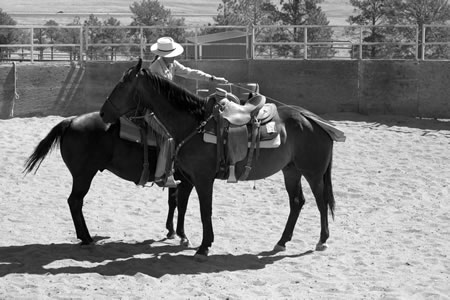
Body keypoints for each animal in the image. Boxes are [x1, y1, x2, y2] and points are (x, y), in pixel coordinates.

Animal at [23, 111, 192, 245]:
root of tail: (70, 121)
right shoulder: (188, 180)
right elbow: (182, 206)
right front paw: (183, 235)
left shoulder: (175, 179)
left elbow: (173, 202)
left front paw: (171, 231)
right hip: (84, 176)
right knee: (75, 202)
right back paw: (86, 237)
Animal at [99, 59, 338, 256]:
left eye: (122, 85)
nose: (102, 113)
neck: (194, 123)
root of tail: (313, 120)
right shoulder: (188, 177)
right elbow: (185, 204)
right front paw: (189, 239)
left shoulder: (203, 178)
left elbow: (205, 210)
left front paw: (204, 246)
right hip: (291, 170)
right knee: (297, 202)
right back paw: (282, 242)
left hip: (313, 173)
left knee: (321, 201)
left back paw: (322, 240)